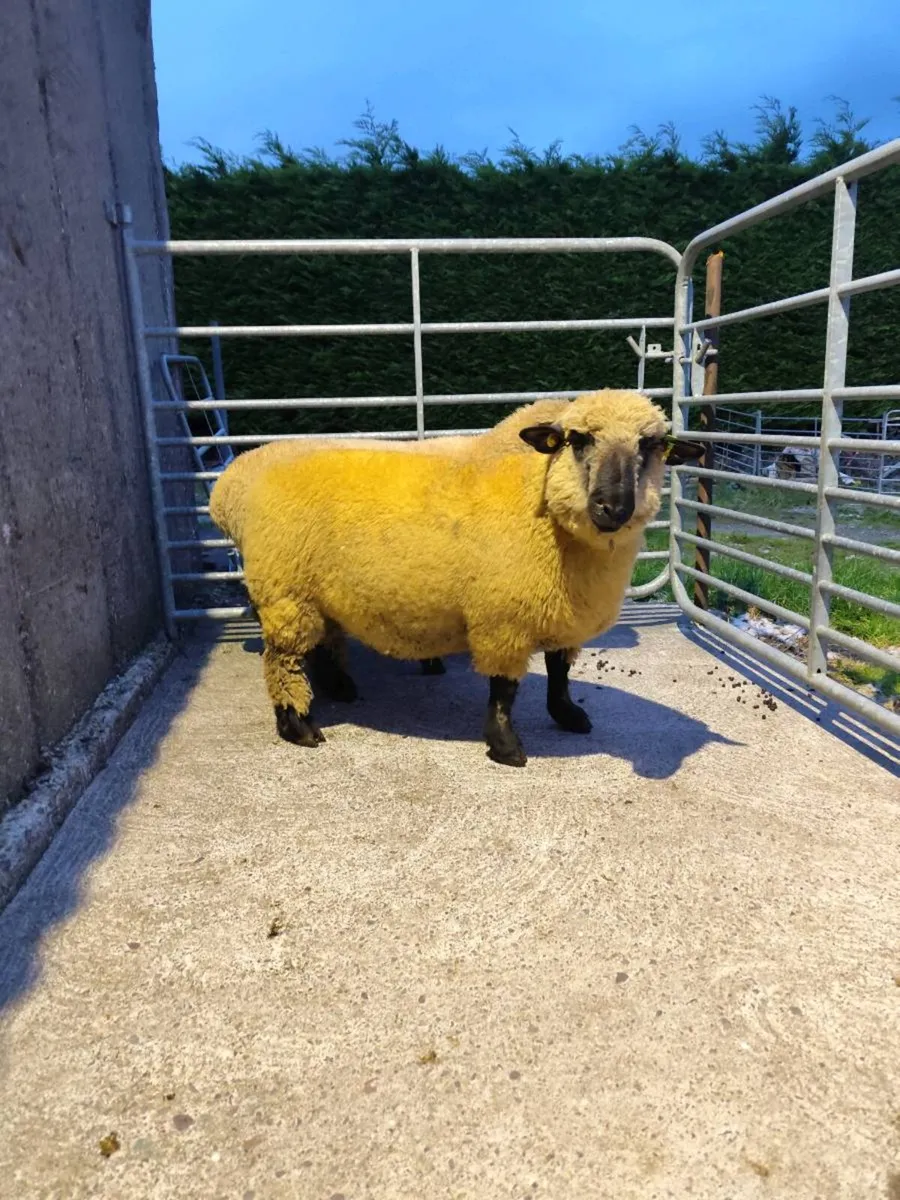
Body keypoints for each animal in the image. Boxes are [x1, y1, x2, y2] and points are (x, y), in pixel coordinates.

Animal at [211, 388, 703, 766]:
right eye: (576, 440)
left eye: (651, 446)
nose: (612, 507)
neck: (538, 493)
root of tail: (231, 484)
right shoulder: (503, 620)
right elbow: (504, 690)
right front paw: (505, 748)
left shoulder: (561, 615)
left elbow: (559, 671)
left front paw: (567, 716)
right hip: (285, 592)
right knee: (282, 661)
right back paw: (298, 725)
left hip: (312, 596)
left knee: (317, 647)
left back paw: (338, 689)